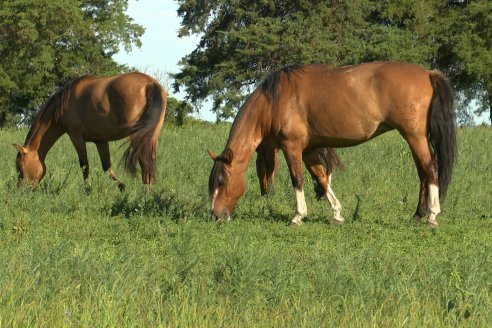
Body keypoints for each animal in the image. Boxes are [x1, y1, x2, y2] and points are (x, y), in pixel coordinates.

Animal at [13, 72, 167, 190]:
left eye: (20, 167)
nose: (21, 190)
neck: (64, 104)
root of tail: (150, 84)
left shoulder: (76, 137)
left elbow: (84, 165)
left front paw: (87, 190)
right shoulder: (101, 141)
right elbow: (106, 167)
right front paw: (122, 186)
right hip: (150, 136)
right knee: (149, 164)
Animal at [208, 62, 458, 229]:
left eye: (222, 181)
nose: (215, 216)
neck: (275, 102)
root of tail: (428, 73)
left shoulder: (292, 147)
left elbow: (298, 179)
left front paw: (298, 216)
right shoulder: (308, 150)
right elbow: (322, 178)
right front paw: (337, 214)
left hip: (414, 136)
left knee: (431, 169)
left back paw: (432, 215)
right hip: (414, 138)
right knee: (423, 173)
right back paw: (418, 214)